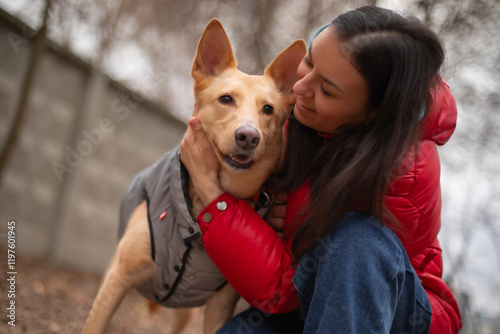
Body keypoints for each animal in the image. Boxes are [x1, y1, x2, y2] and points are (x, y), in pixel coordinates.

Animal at [82, 19, 304, 332]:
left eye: (268, 109)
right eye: (226, 99)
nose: (249, 137)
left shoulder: (221, 306)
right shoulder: (118, 278)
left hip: (184, 312)